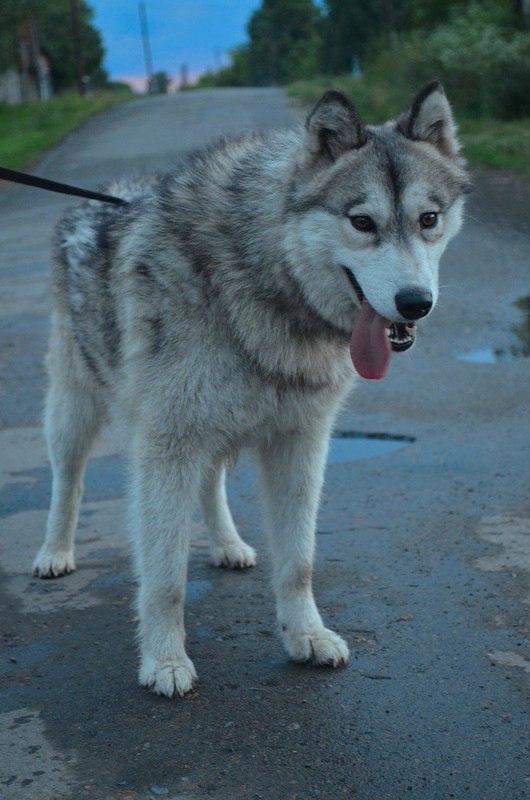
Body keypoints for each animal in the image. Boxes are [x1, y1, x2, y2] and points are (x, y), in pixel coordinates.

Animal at [34, 79, 466, 692]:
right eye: (362, 222)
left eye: (429, 218)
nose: (415, 304)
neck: (263, 275)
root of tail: (106, 193)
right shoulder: (166, 446)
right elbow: (164, 576)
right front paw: (164, 661)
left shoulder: (300, 444)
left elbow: (299, 562)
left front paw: (306, 636)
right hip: (76, 412)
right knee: (66, 482)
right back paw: (55, 552)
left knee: (210, 484)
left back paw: (228, 544)